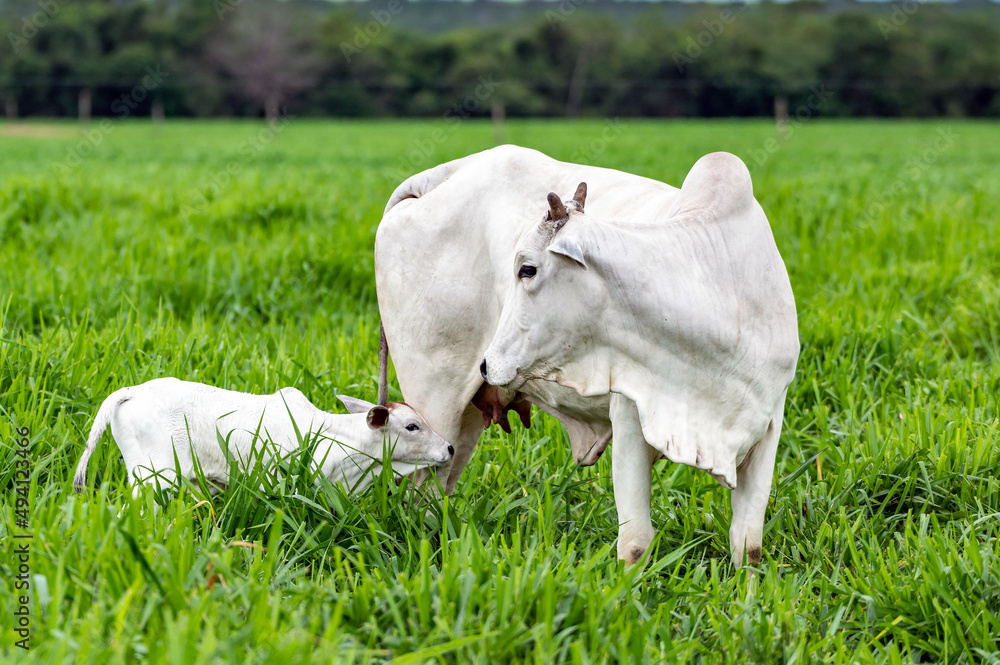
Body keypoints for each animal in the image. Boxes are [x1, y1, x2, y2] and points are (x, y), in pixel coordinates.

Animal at [480, 151, 799, 565]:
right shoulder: (631, 422)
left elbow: (750, 546)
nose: (486, 365)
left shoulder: (769, 424)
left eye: (527, 269)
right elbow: (635, 544)